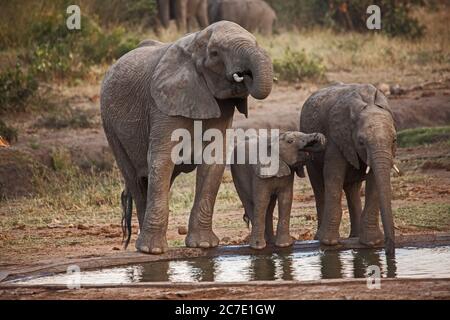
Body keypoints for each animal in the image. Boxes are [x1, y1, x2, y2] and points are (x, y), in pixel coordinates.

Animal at [101, 21, 274, 254]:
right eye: (214, 53)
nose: (244, 74)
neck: (195, 42)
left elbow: (213, 162)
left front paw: (203, 245)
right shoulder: (163, 103)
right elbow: (162, 159)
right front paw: (153, 251)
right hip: (110, 127)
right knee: (136, 179)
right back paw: (144, 247)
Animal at [298, 84, 398, 256]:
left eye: (394, 140)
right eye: (361, 142)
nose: (389, 252)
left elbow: (373, 181)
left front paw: (371, 242)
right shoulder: (336, 137)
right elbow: (333, 177)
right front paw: (329, 242)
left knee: (353, 189)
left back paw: (355, 236)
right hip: (310, 150)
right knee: (319, 187)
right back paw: (319, 237)